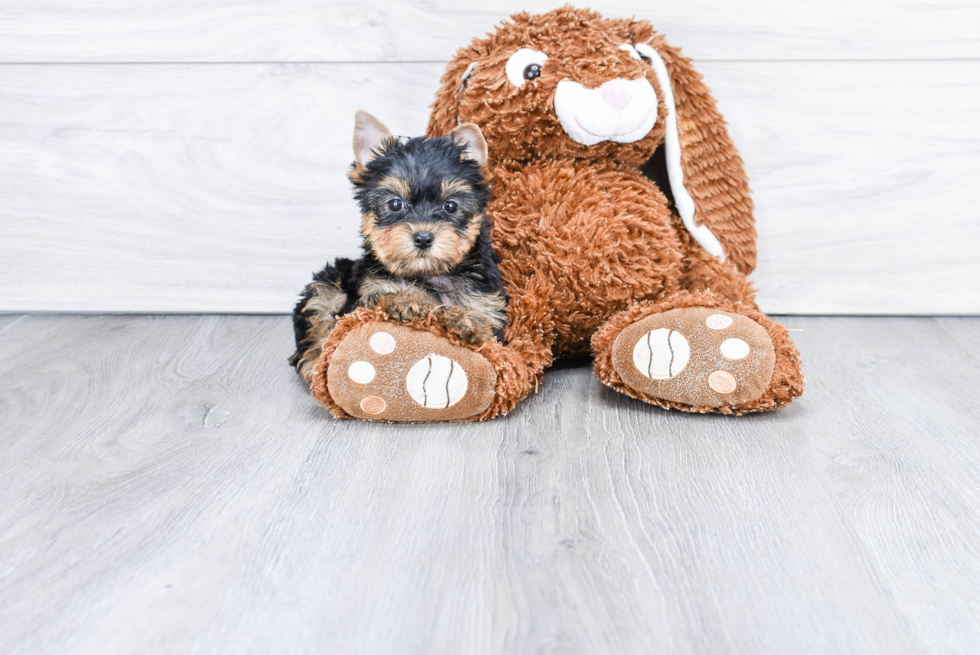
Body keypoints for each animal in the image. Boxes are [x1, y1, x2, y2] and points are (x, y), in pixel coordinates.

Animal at [290, 110, 506, 382]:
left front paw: (466, 322)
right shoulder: (369, 291)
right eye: (395, 204)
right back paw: (315, 363)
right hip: (328, 285)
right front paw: (406, 303)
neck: (428, 273)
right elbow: (386, 297)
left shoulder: (487, 305)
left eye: (451, 206)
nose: (423, 238)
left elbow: (482, 324)